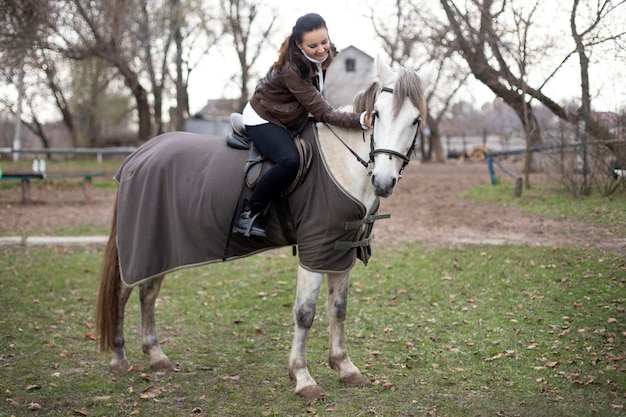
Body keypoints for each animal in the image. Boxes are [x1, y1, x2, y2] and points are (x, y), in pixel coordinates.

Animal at [95, 56, 426, 400]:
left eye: (415, 120)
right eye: (377, 114)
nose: (383, 181)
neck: (341, 163)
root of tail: (137, 157)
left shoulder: (339, 251)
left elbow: (338, 309)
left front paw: (345, 368)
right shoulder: (315, 249)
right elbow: (305, 313)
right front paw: (303, 377)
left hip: (160, 247)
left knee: (148, 293)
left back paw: (156, 355)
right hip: (138, 246)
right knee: (122, 292)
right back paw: (118, 358)